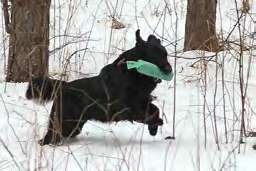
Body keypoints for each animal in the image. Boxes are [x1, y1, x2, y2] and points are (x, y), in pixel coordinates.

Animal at [26, 29, 172, 146]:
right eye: (154, 56)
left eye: (165, 54)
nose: (169, 70)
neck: (132, 73)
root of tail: (63, 86)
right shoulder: (130, 108)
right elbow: (150, 114)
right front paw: (156, 123)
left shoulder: (144, 102)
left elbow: (155, 109)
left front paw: (153, 129)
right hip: (64, 121)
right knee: (49, 137)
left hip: (75, 124)